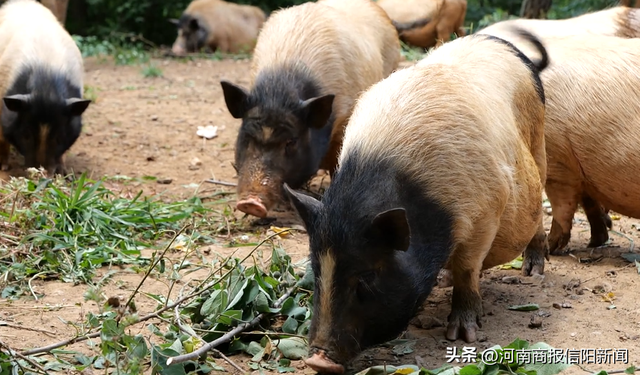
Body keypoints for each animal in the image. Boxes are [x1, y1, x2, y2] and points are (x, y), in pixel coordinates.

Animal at [0, 0, 90, 176]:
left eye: (59, 137)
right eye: (26, 135)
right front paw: (4, 168)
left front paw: (63, 173)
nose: (41, 172)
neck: (46, 87)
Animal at [284, 28, 552, 374]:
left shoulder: (486, 211)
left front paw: (461, 336)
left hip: (538, 144)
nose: (317, 359)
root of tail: (501, 43)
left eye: (366, 279)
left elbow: (468, 270)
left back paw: (533, 272)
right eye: (316, 273)